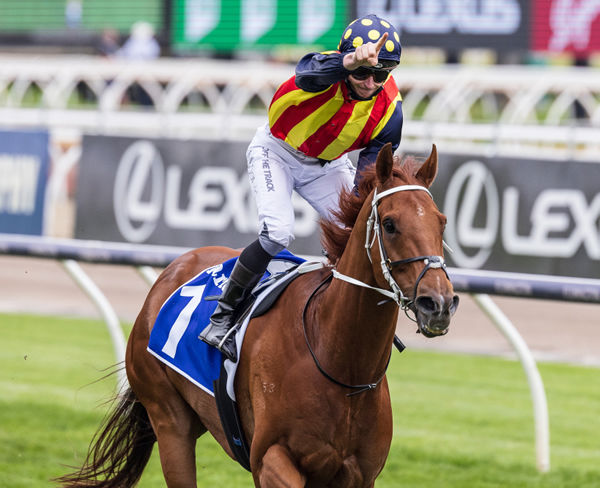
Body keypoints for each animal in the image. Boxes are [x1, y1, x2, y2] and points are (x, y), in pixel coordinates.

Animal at [57, 144, 460, 488]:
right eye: (390, 224)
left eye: (441, 223)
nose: (438, 303)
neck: (339, 363)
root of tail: (173, 270)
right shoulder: (271, 460)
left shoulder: (360, 475)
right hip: (169, 419)